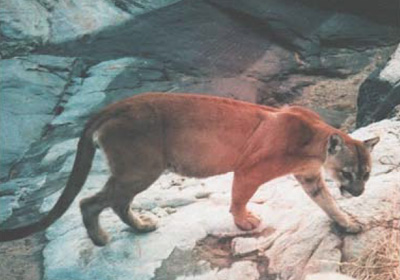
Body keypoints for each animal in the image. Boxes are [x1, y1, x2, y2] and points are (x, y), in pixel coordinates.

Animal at [0, 93, 378, 245]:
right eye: (348, 173)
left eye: (366, 174)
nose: (359, 191)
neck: (314, 143)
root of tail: (114, 106)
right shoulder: (249, 170)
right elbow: (239, 197)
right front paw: (244, 222)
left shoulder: (310, 177)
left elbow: (328, 203)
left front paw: (348, 222)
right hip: (141, 169)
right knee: (90, 201)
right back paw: (102, 238)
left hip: (136, 171)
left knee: (116, 202)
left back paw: (140, 228)